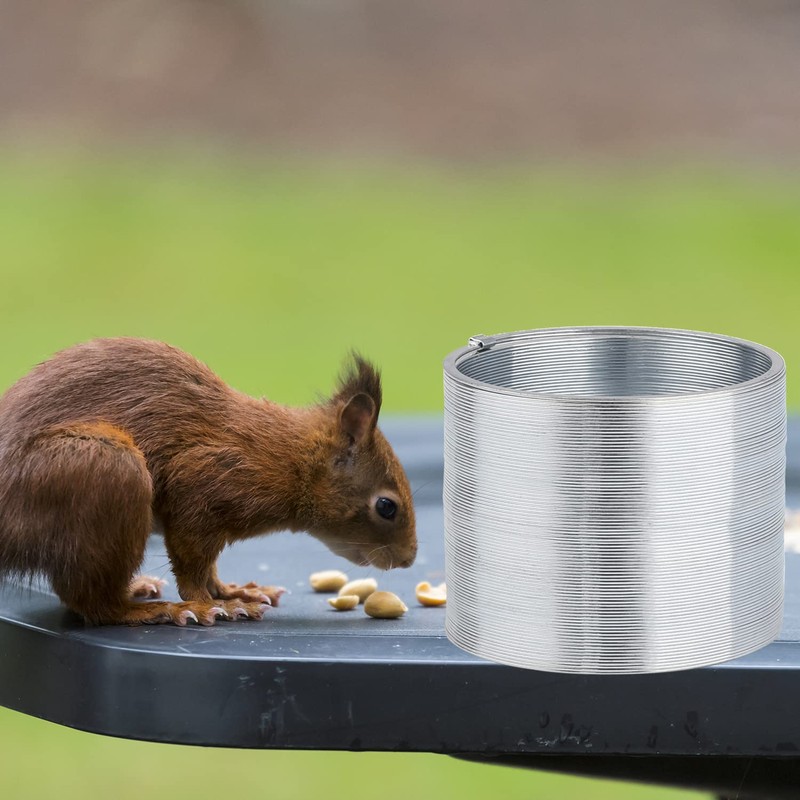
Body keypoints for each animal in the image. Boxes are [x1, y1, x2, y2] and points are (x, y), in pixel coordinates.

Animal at [0, 338, 417, 626]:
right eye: (386, 506)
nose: (408, 559)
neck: (289, 459)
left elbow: (209, 566)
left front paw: (233, 591)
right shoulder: (201, 483)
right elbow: (192, 564)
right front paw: (209, 603)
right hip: (106, 470)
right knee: (92, 603)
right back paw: (152, 610)